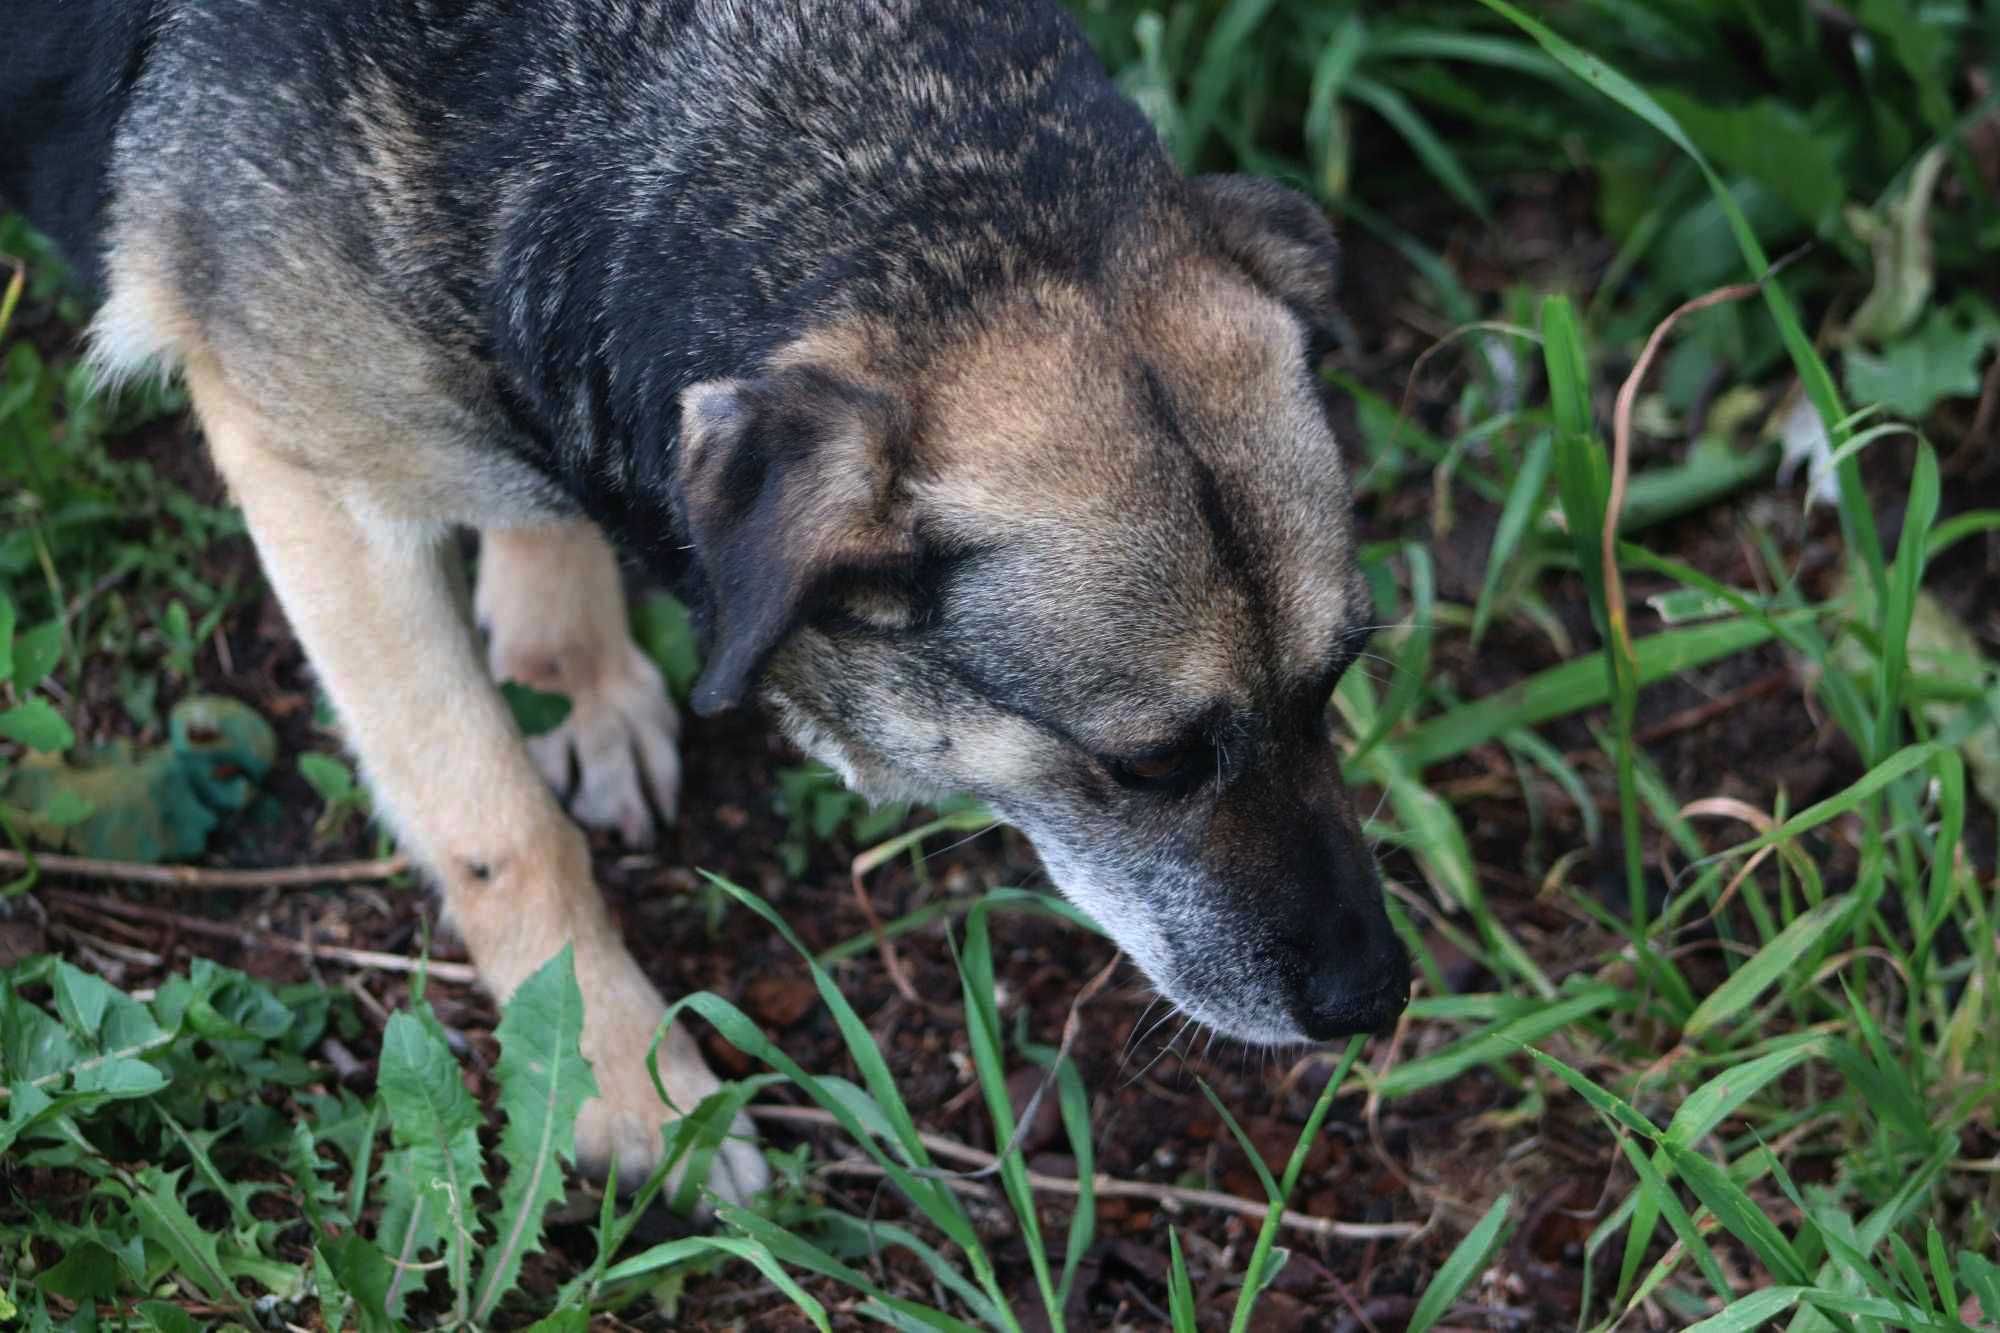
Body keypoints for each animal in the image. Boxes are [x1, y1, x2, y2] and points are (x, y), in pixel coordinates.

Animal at [3, 0, 1408, 1200]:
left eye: (1340, 681)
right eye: (1152, 763)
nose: (1378, 997)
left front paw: (563, 656)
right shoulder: (310, 480)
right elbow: (501, 825)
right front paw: (619, 1079)